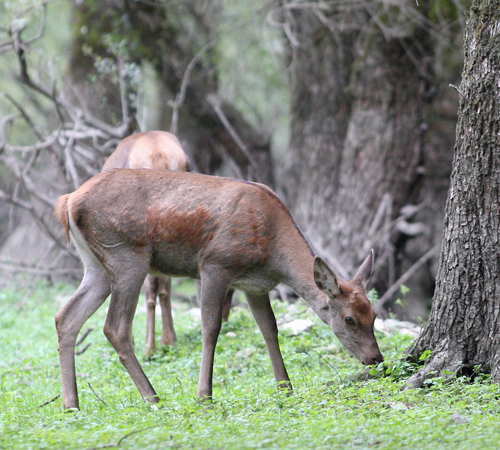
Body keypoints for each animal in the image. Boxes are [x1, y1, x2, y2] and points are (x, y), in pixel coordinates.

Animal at [54, 167, 382, 410]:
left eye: (374, 314)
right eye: (349, 319)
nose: (376, 358)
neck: (273, 254)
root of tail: (68, 201)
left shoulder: (255, 286)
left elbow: (270, 329)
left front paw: (285, 387)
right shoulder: (214, 265)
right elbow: (211, 328)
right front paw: (204, 395)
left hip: (96, 266)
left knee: (65, 317)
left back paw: (72, 404)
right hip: (127, 256)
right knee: (115, 328)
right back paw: (152, 396)